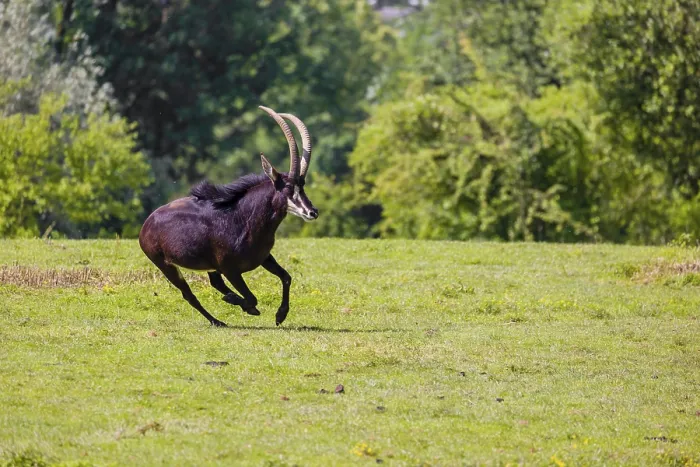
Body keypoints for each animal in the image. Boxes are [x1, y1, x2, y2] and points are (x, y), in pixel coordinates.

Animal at [138, 106, 318, 327]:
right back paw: (217, 320)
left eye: (302, 186)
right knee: (189, 294)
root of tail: (147, 224)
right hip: (166, 265)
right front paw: (241, 303)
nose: (312, 212)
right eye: (288, 189)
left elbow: (286, 277)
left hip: (207, 266)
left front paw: (280, 315)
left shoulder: (264, 258)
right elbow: (251, 298)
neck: (244, 219)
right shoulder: (229, 269)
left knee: (214, 282)